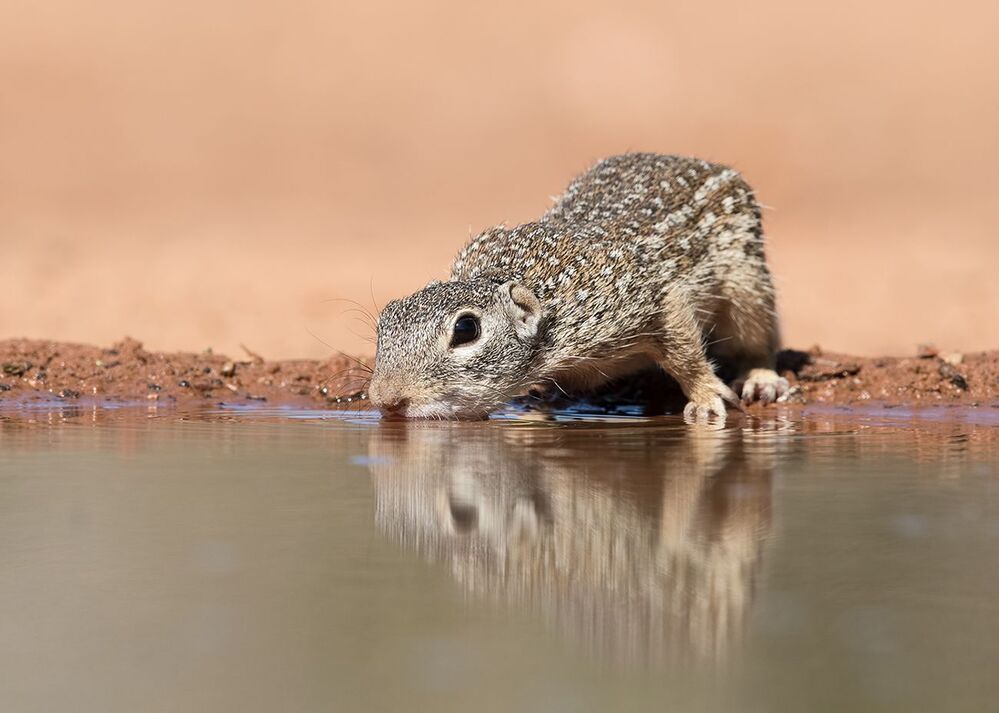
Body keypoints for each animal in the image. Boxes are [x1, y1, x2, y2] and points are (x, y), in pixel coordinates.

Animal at [368, 152, 788, 421]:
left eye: (466, 329)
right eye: (385, 320)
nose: (387, 399)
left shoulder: (644, 298)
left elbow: (684, 351)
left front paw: (706, 397)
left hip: (747, 283)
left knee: (759, 338)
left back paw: (761, 379)